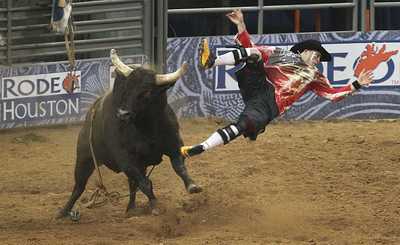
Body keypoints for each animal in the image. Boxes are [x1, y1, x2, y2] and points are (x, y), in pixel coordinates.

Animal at [57, 50, 200, 218]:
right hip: (85, 157)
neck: (146, 128)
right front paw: (155, 205)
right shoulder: (126, 159)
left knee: (132, 184)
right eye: (126, 88)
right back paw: (64, 211)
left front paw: (192, 185)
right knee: (79, 187)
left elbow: (179, 167)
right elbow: (145, 184)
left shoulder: (174, 145)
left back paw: (130, 208)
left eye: (147, 92)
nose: (122, 114)